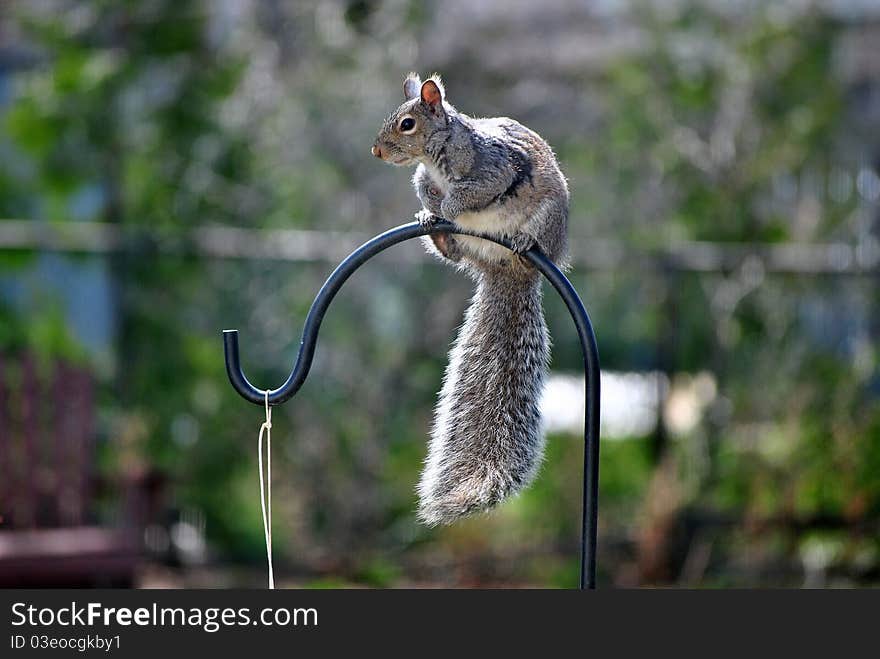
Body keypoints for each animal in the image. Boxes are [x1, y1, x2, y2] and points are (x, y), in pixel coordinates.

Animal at [372, 72, 572, 524]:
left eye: (407, 124)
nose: (377, 151)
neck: (435, 159)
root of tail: (507, 271)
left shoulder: (493, 168)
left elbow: (471, 193)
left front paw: (448, 205)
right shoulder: (423, 178)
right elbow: (426, 189)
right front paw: (430, 209)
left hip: (547, 221)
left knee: (531, 239)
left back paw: (523, 241)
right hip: (470, 248)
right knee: (455, 253)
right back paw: (439, 235)